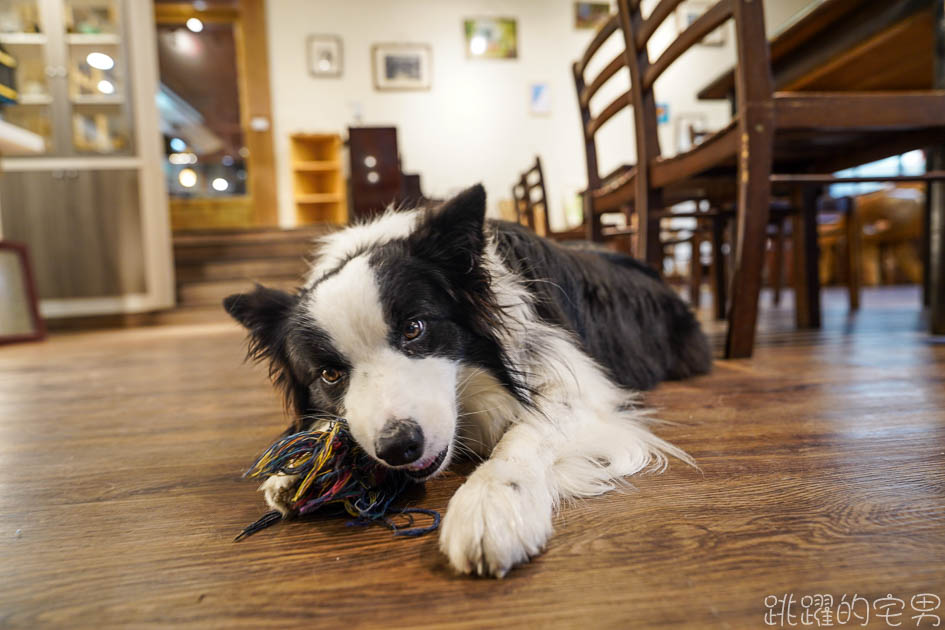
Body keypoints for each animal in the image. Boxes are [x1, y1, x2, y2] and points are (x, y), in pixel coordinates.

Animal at [223, 183, 708, 576]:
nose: (398, 448)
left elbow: (529, 430)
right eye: (329, 374)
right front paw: (302, 467)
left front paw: (492, 504)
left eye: (414, 329)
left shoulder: (582, 385)